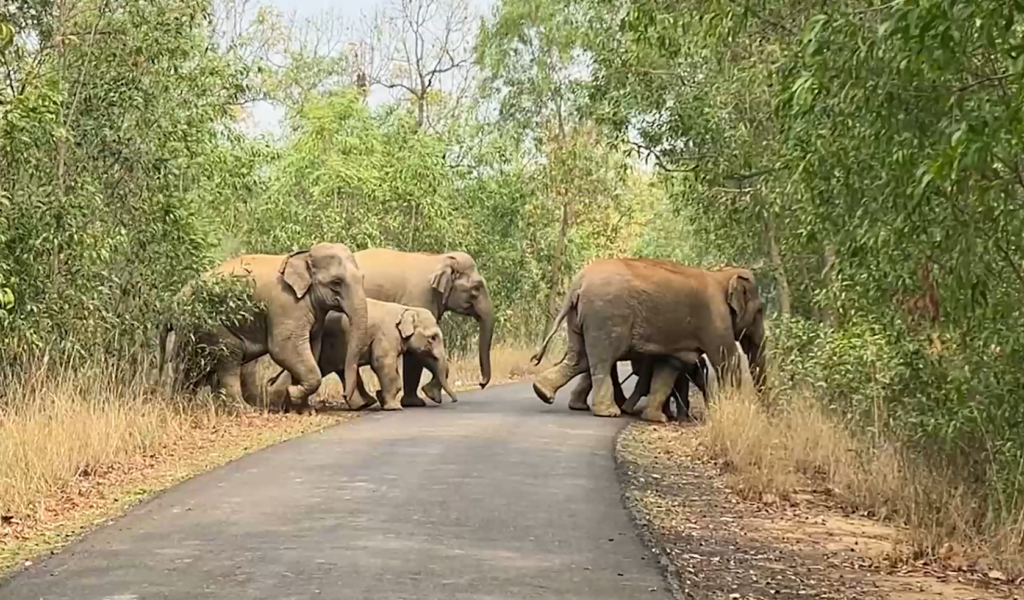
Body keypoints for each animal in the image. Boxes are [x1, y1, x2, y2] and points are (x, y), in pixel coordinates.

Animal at [159, 243, 368, 413]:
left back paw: (180, 405)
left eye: (362, 278)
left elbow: (312, 348)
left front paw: (303, 409)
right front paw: (293, 393)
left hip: (192, 331)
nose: (345, 396)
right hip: (213, 325)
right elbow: (284, 349)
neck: (304, 256)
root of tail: (175, 301)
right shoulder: (287, 305)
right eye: (336, 283)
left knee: (192, 366)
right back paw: (244, 410)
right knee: (229, 358)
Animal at [242, 299, 459, 411]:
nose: (454, 401)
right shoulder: (386, 335)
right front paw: (393, 407)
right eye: (433, 337)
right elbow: (382, 364)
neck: (405, 308)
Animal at [354, 248, 494, 407]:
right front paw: (424, 398)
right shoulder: (419, 298)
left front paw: (422, 397)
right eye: (476, 288)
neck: (438, 259)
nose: (481, 383)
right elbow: (416, 351)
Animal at [530, 258, 764, 423]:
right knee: (602, 360)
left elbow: (669, 365)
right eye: (761, 310)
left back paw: (543, 392)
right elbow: (728, 360)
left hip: (581, 317)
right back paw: (609, 412)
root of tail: (578, 281)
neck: (722, 276)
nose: (764, 413)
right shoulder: (716, 320)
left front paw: (657, 419)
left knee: (579, 359)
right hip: (606, 318)